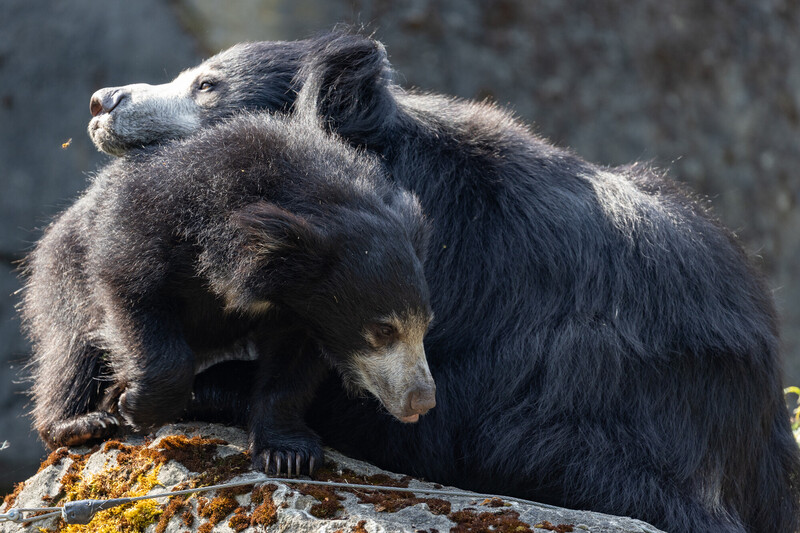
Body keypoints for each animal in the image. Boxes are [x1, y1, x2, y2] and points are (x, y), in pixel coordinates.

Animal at [22, 107, 436, 475]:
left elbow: (291, 370)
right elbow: (132, 291)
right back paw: (81, 423)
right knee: (73, 349)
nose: (423, 400)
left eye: (425, 326)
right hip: (64, 270)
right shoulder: (147, 224)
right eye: (384, 330)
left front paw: (288, 455)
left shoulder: (306, 311)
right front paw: (135, 406)